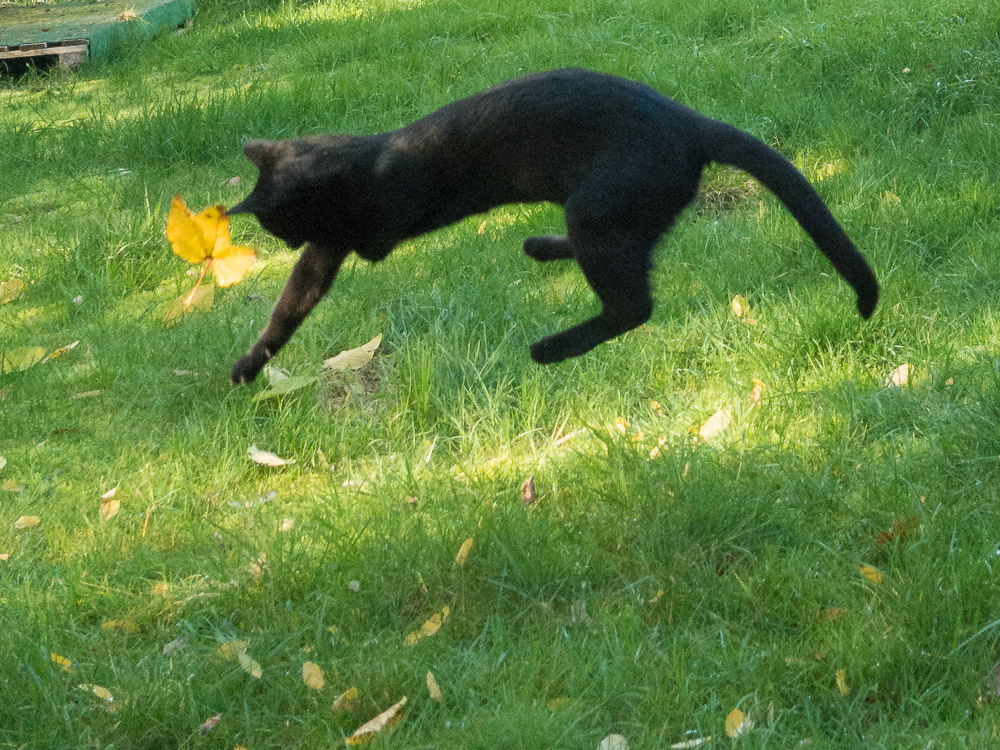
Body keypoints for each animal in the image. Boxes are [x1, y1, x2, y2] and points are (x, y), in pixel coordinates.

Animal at [227, 67, 876, 384]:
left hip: (597, 208)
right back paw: (539, 248)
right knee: (634, 266)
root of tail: (692, 122)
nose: (281, 239)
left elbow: (306, 287)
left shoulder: (359, 233)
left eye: (276, 225)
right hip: (612, 214)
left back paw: (549, 349)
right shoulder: (329, 244)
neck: (360, 160)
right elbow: (292, 303)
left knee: (634, 305)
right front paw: (251, 364)